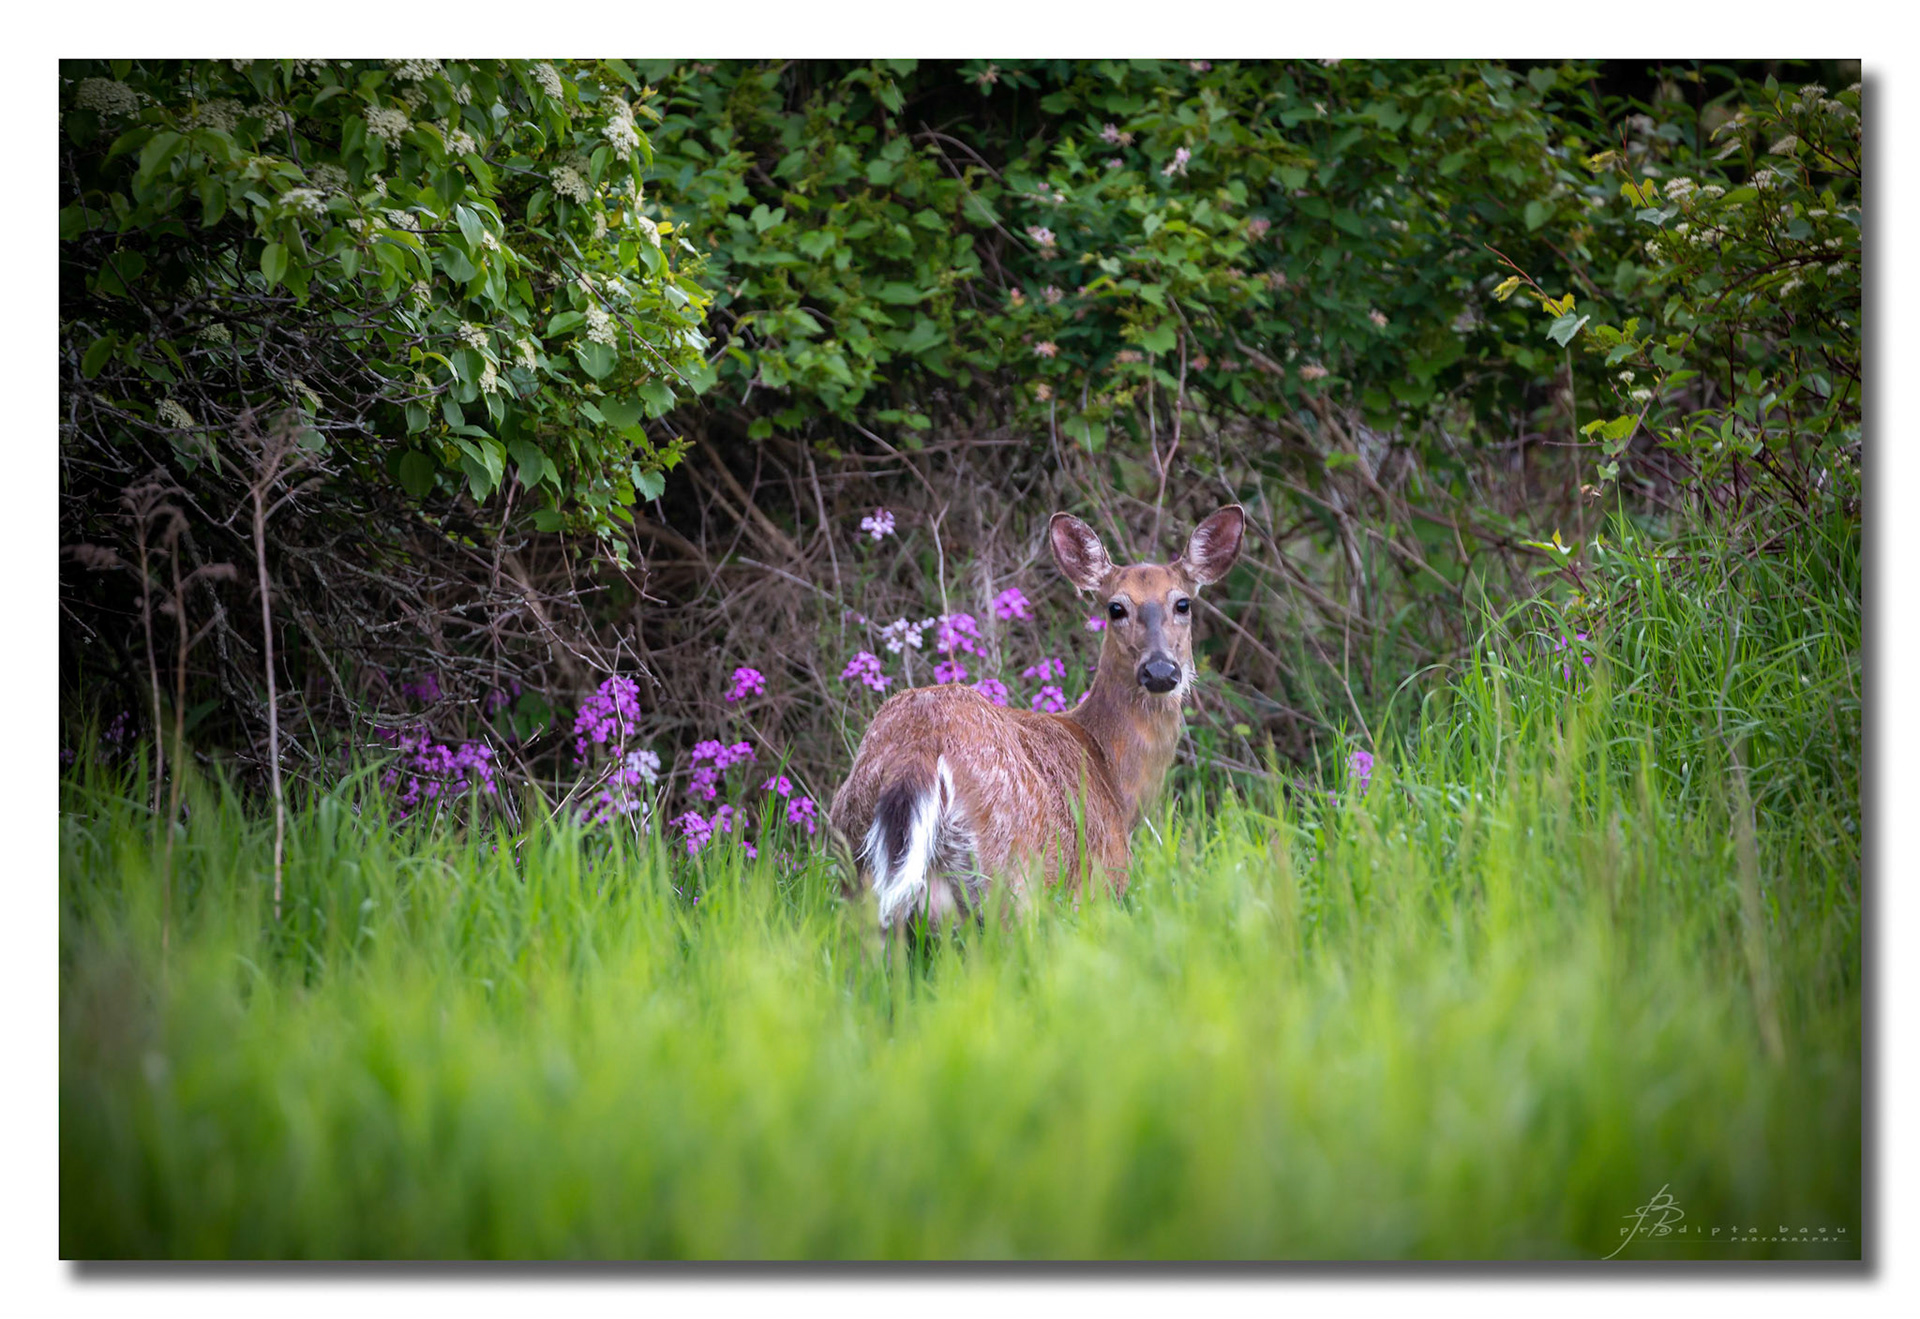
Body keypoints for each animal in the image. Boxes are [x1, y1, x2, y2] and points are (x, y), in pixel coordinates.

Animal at [827, 504, 1246, 929]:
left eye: (1183, 603)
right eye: (1115, 607)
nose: (1160, 670)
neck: (1115, 780)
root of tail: (920, 746)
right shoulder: (1099, 884)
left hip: (858, 863)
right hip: (1009, 872)